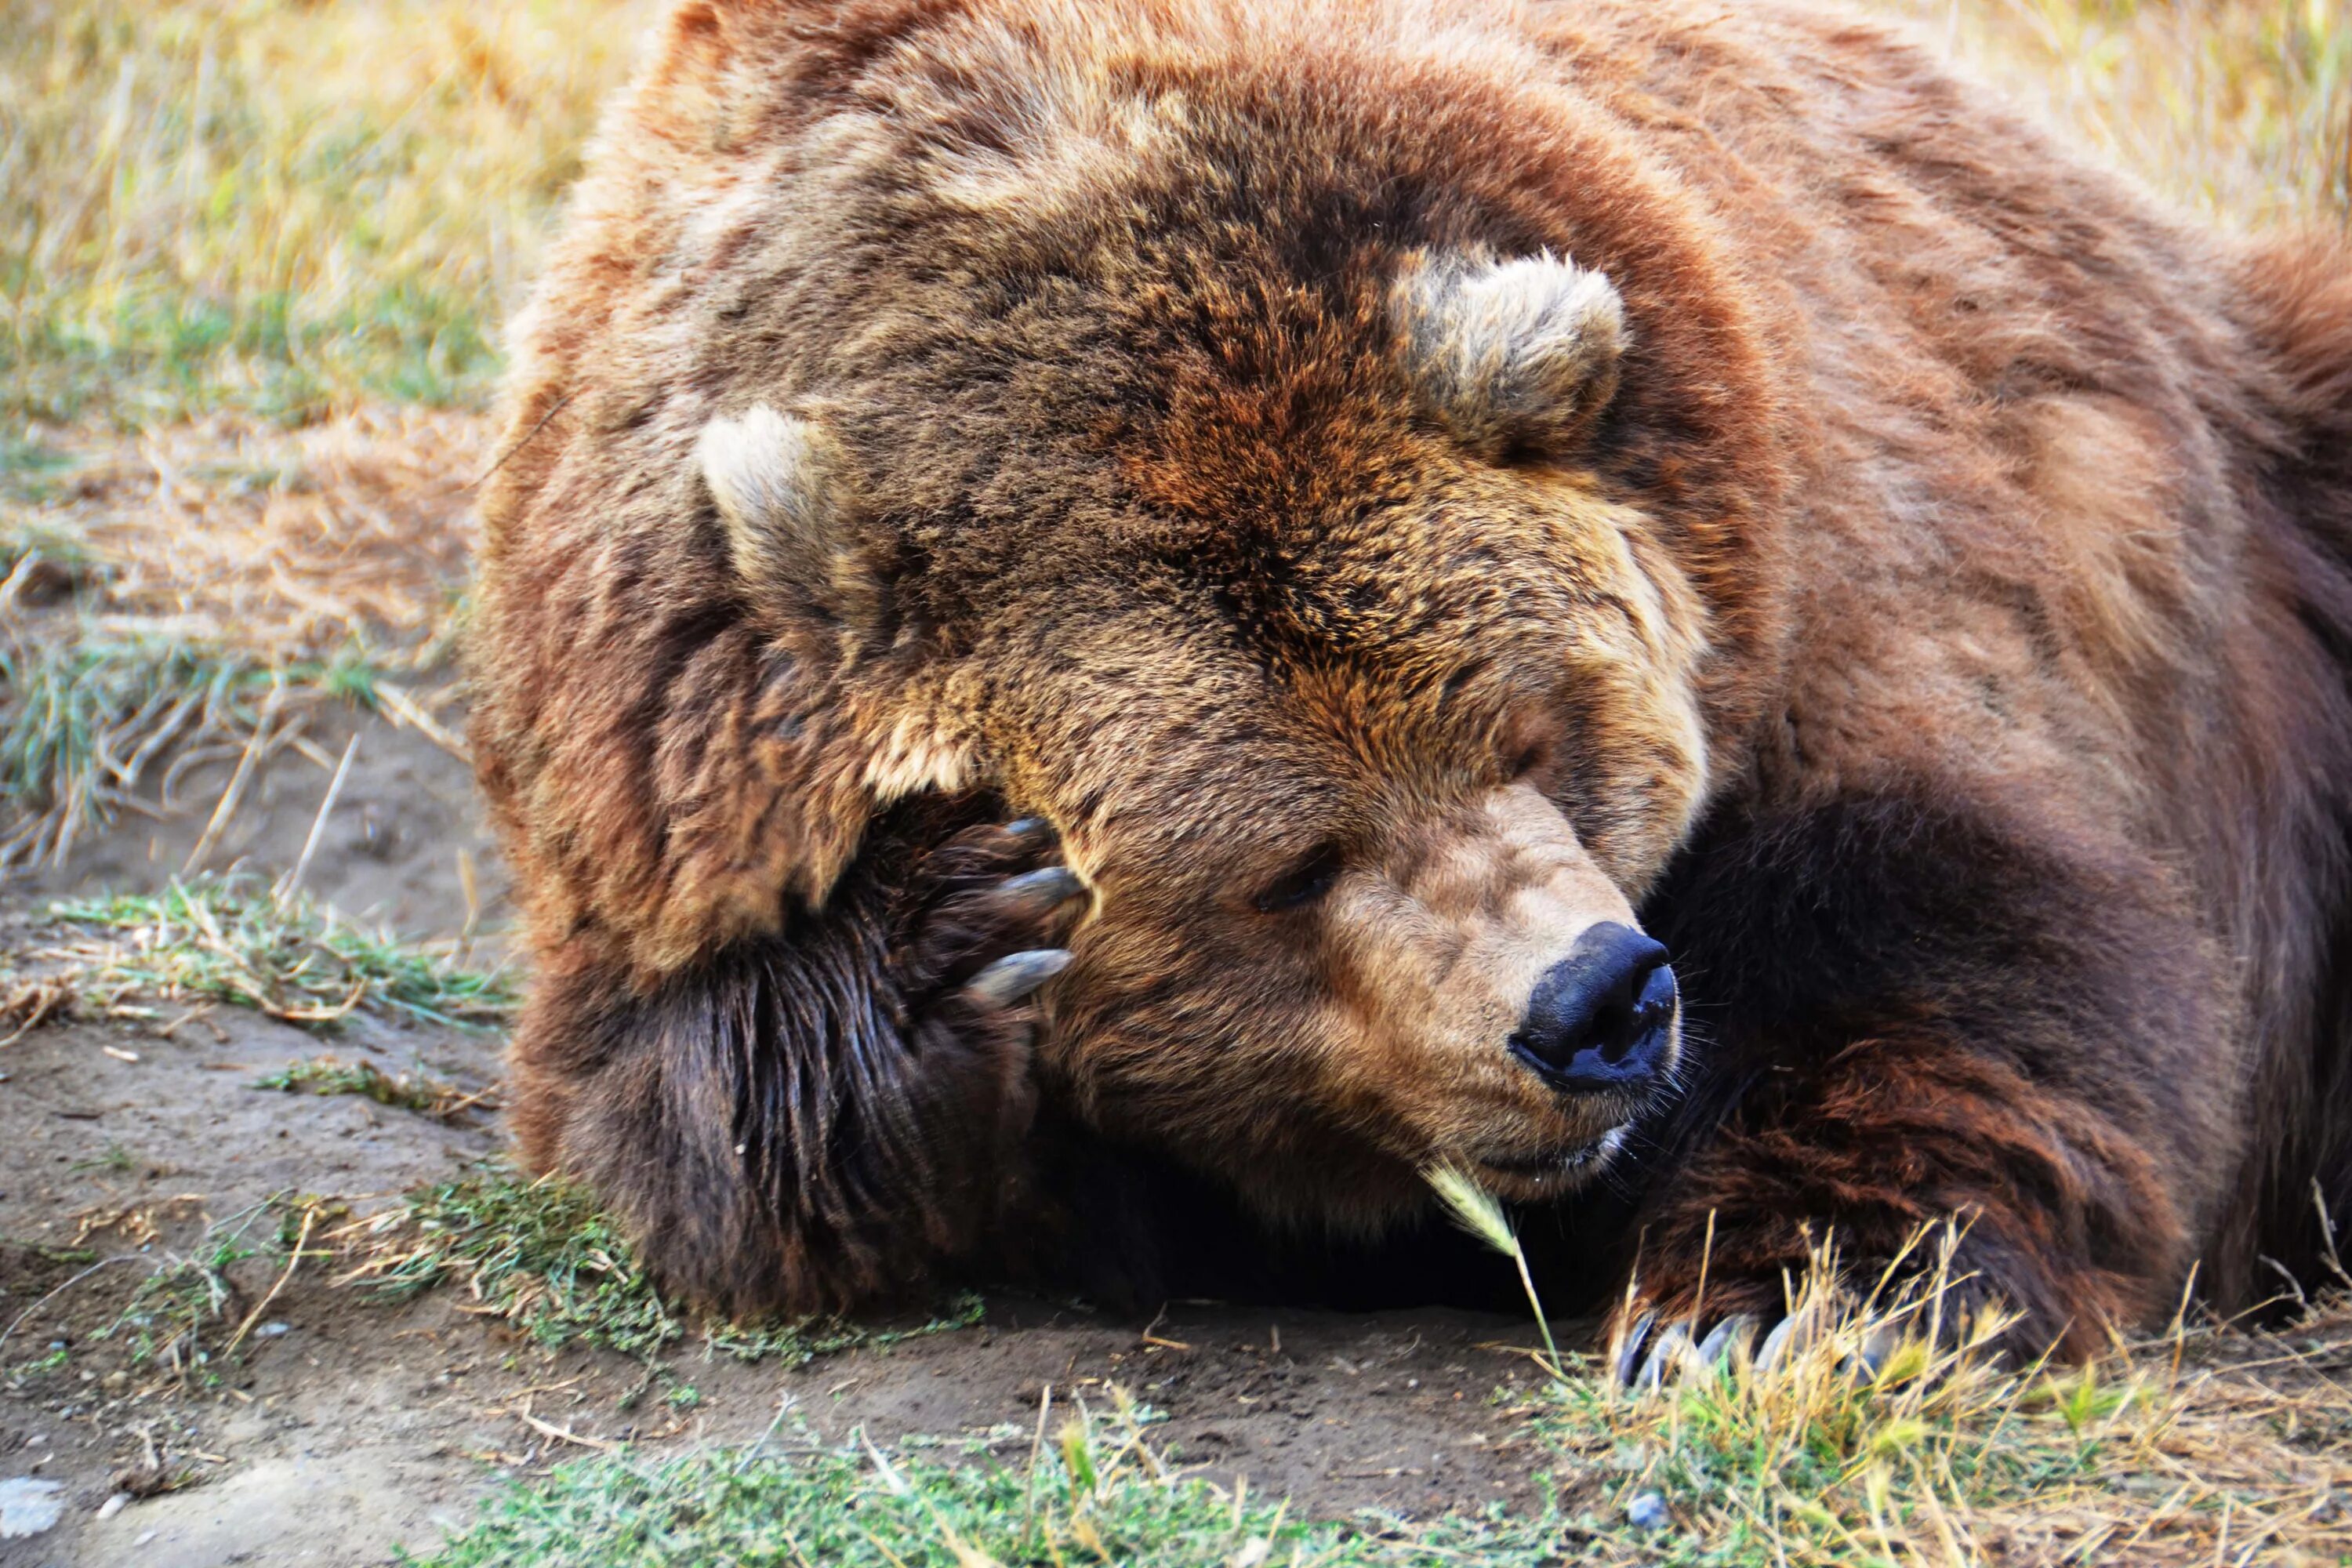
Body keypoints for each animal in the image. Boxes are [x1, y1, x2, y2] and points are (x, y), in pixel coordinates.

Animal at [468, 0, 2352, 1363]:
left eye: (1534, 730)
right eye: (1287, 867)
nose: (1598, 1002)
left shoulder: (1834, 553)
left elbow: (1959, 931)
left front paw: (1767, 1308)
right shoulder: (655, 768)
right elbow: (686, 1113)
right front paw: (946, 938)